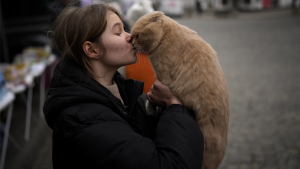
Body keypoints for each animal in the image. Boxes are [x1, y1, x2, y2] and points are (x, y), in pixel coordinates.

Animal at [131, 11, 230, 168]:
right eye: (132, 36)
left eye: (137, 35)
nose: (132, 44)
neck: (166, 36)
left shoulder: (163, 78)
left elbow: (151, 97)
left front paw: (150, 108)